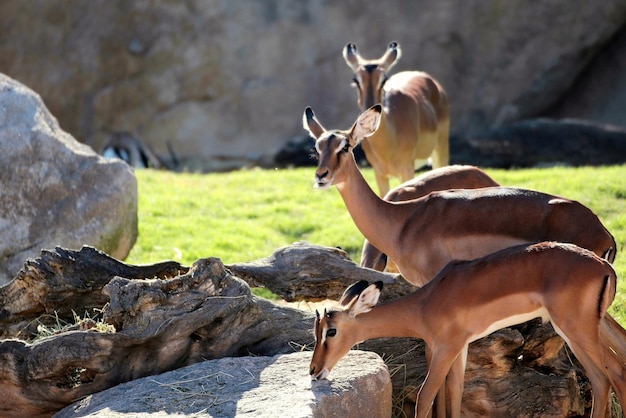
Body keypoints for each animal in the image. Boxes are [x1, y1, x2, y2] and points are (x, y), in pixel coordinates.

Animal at [310, 242, 624, 418]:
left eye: (331, 331)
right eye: (317, 330)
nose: (313, 370)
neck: (426, 303)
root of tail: (605, 266)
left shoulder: (445, 349)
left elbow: (425, 398)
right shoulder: (458, 349)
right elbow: (454, 394)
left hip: (575, 329)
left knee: (602, 379)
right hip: (589, 327)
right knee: (617, 370)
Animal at [342, 41, 448, 196]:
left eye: (384, 80)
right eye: (356, 80)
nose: (370, 106)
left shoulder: (407, 169)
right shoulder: (379, 174)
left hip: (441, 150)